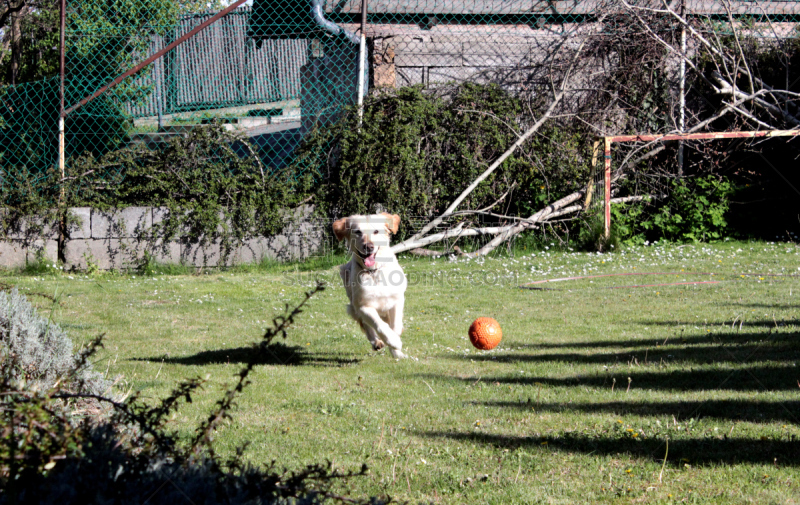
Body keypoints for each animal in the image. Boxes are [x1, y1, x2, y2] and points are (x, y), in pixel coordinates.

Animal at [332, 213, 406, 358]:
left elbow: (395, 325)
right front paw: (393, 341)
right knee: (367, 326)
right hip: (353, 305)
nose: (369, 246)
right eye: (358, 232)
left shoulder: (397, 299)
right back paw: (376, 342)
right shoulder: (362, 306)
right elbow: (378, 325)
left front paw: (396, 349)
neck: (374, 271)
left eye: (376, 231)